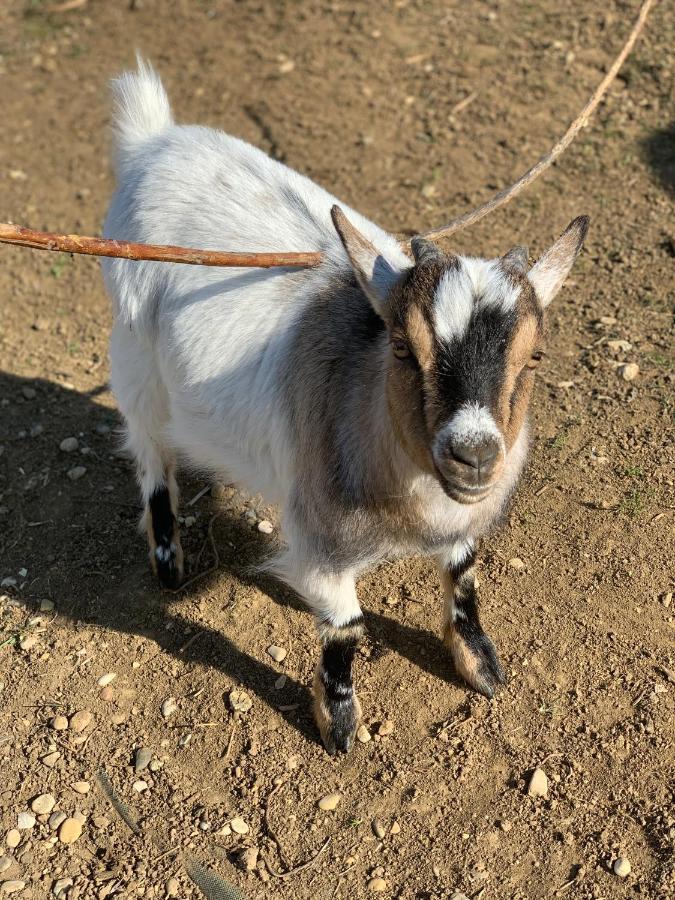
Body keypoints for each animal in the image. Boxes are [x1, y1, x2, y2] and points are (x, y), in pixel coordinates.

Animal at [103, 58, 588, 752]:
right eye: (403, 348)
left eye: (535, 358)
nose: (473, 456)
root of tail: (154, 140)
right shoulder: (321, 540)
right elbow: (346, 627)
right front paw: (337, 722)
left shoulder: (461, 518)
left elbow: (464, 571)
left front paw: (478, 662)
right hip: (134, 351)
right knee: (148, 447)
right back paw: (168, 560)